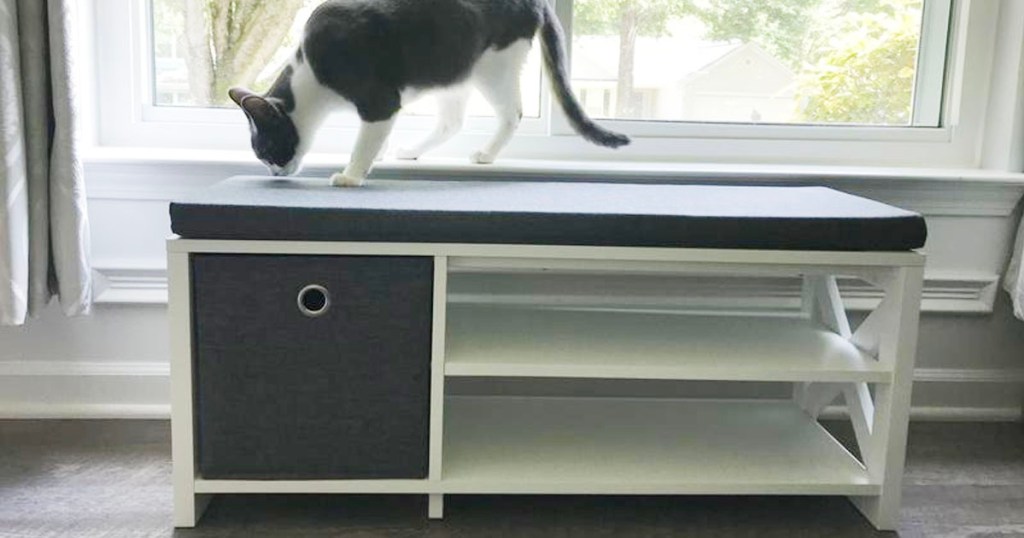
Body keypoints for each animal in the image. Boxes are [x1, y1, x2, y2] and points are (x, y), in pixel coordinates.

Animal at [230, 0, 630, 186]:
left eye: (265, 150)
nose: (275, 174)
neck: (309, 74)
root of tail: (538, 2)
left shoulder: (379, 100)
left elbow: (367, 138)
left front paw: (352, 174)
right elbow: (377, 137)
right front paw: (378, 155)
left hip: (493, 66)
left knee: (511, 113)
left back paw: (486, 154)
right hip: (453, 72)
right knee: (452, 121)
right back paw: (411, 150)